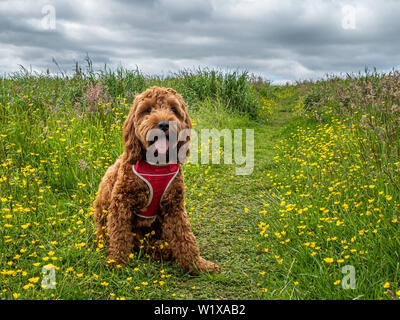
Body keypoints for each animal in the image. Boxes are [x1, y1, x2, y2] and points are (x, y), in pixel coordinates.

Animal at [93, 86, 220, 274]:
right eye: (147, 110)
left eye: (173, 109)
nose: (164, 124)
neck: (157, 165)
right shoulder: (121, 203)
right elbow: (119, 235)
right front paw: (117, 262)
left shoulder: (174, 205)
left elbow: (185, 237)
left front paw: (198, 264)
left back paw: (163, 249)